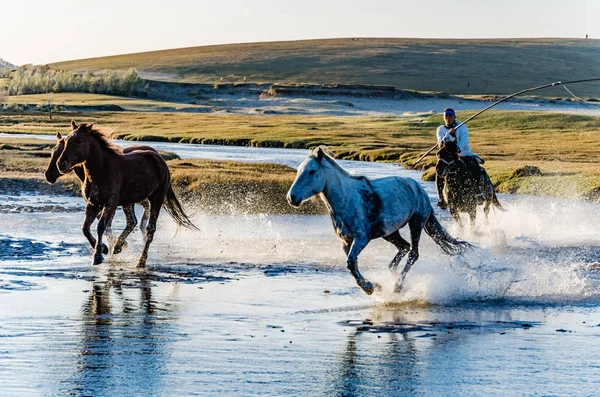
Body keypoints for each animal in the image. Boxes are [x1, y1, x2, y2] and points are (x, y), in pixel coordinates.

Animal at [56, 120, 198, 266]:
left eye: (79, 141)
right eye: (66, 141)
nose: (61, 164)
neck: (101, 171)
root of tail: (159, 159)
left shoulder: (110, 203)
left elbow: (101, 226)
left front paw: (98, 255)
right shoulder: (93, 204)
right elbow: (85, 228)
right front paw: (105, 249)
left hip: (156, 199)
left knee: (150, 229)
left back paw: (141, 260)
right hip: (129, 202)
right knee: (131, 223)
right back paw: (118, 247)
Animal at [288, 146, 474, 294]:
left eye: (312, 171)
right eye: (299, 170)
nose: (292, 198)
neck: (347, 200)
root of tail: (418, 188)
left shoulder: (361, 238)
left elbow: (350, 263)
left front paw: (369, 287)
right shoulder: (346, 242)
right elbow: (352, 265)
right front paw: (374, 286)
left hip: (416, 223)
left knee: (413, 253)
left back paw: (398, 286)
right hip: (390, 233)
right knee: (404, 247)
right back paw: (392, 274)